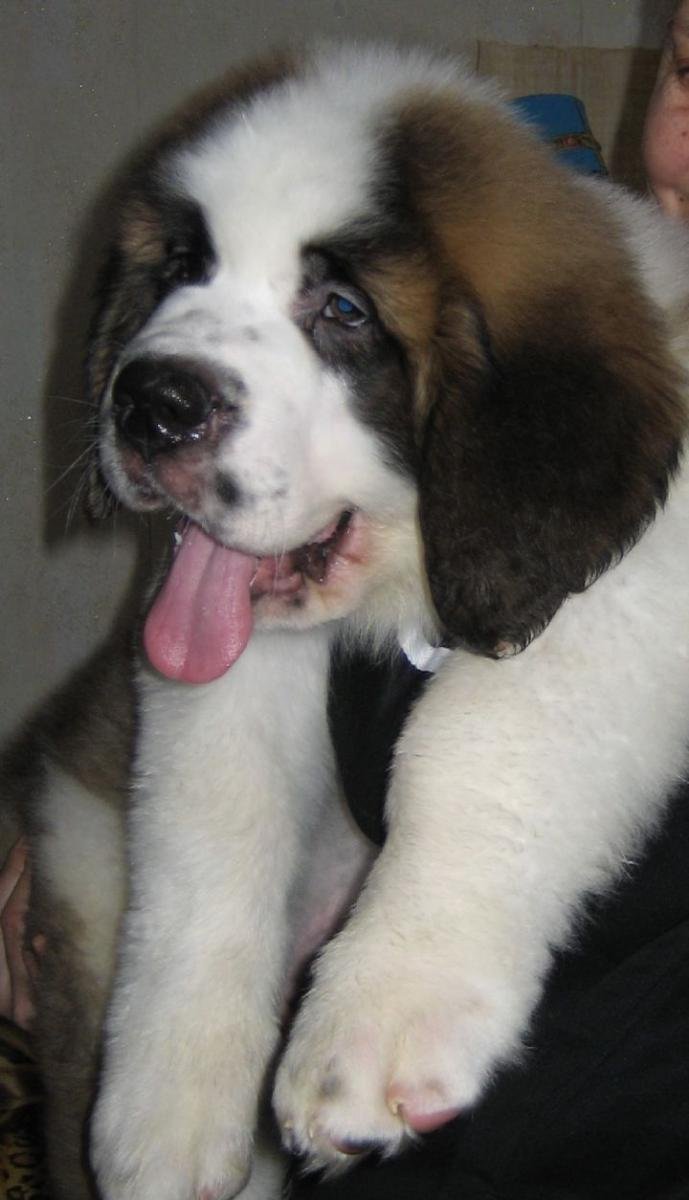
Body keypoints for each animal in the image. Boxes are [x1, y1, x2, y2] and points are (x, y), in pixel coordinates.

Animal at [4, 41, 689, 1200]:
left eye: (342, 311)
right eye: (179, 268)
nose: (151, 404)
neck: (401, 584)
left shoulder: (620, 599)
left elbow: (473, 753)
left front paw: (384, 1011)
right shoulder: (221, 660)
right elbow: (210, 823)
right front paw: (166, 1104)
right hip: (79, 861)